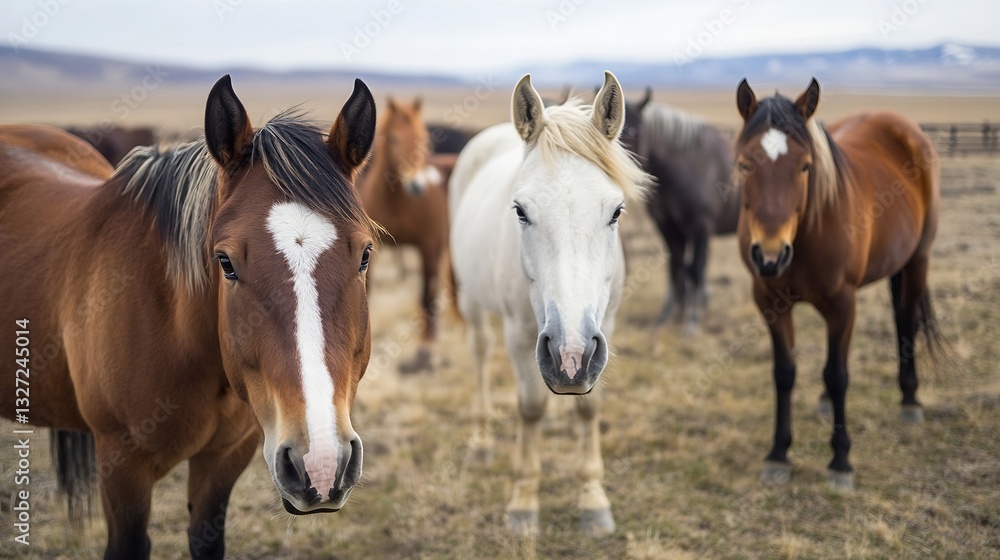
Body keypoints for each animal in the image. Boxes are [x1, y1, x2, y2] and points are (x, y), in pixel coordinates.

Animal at [360, 96, 449, 373]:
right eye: (394, 139)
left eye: (424, 139)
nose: (417, 186)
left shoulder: (427, 245)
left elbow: (426, 297)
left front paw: (425, 352)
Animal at [449, 72, 651, 536]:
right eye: (520, 211)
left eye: (617, 211)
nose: (572, 353)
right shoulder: (520, 335)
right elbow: (530, 408)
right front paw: (523, 502)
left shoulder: (605, 329)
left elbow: (590, 406)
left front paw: (593, 498)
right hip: (471, 298)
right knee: (479, 353)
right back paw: (482, 440)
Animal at [620, 88, 739, 333]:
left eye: (635, 131)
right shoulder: (668, 227)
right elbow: (676, 268)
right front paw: (668, 317)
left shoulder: (701, 226)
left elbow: (695, 268)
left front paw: (692, 320)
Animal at [733, 78, 943, 490]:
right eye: (746, 164)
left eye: (805, 166)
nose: (770, 255)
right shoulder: (769, 301)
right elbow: (784, 373)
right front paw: (778, 454)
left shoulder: (843, 304)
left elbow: (838, 374)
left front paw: (840, 459)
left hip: (918, 260)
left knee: (906, 320)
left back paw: (910, 399)